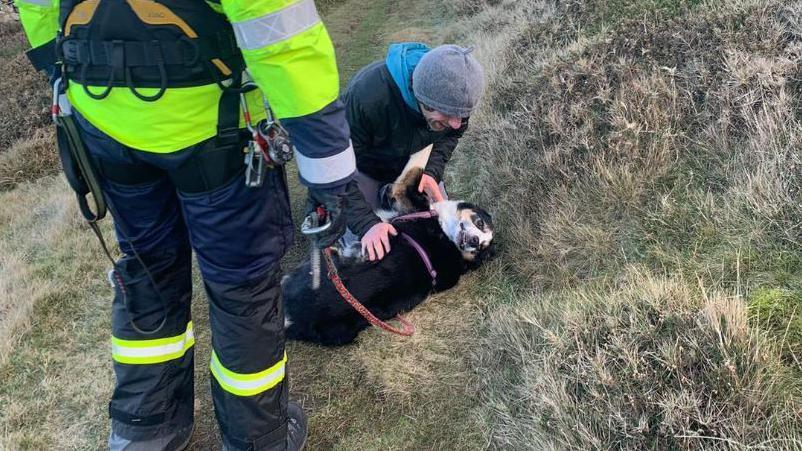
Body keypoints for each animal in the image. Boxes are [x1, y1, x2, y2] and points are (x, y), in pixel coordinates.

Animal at [282, 151, 494, 346]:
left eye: (481, 248)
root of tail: (292, 314)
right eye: (481, 223)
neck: (445, 235)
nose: (475, 241)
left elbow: (415, 168)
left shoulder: (405, 200)